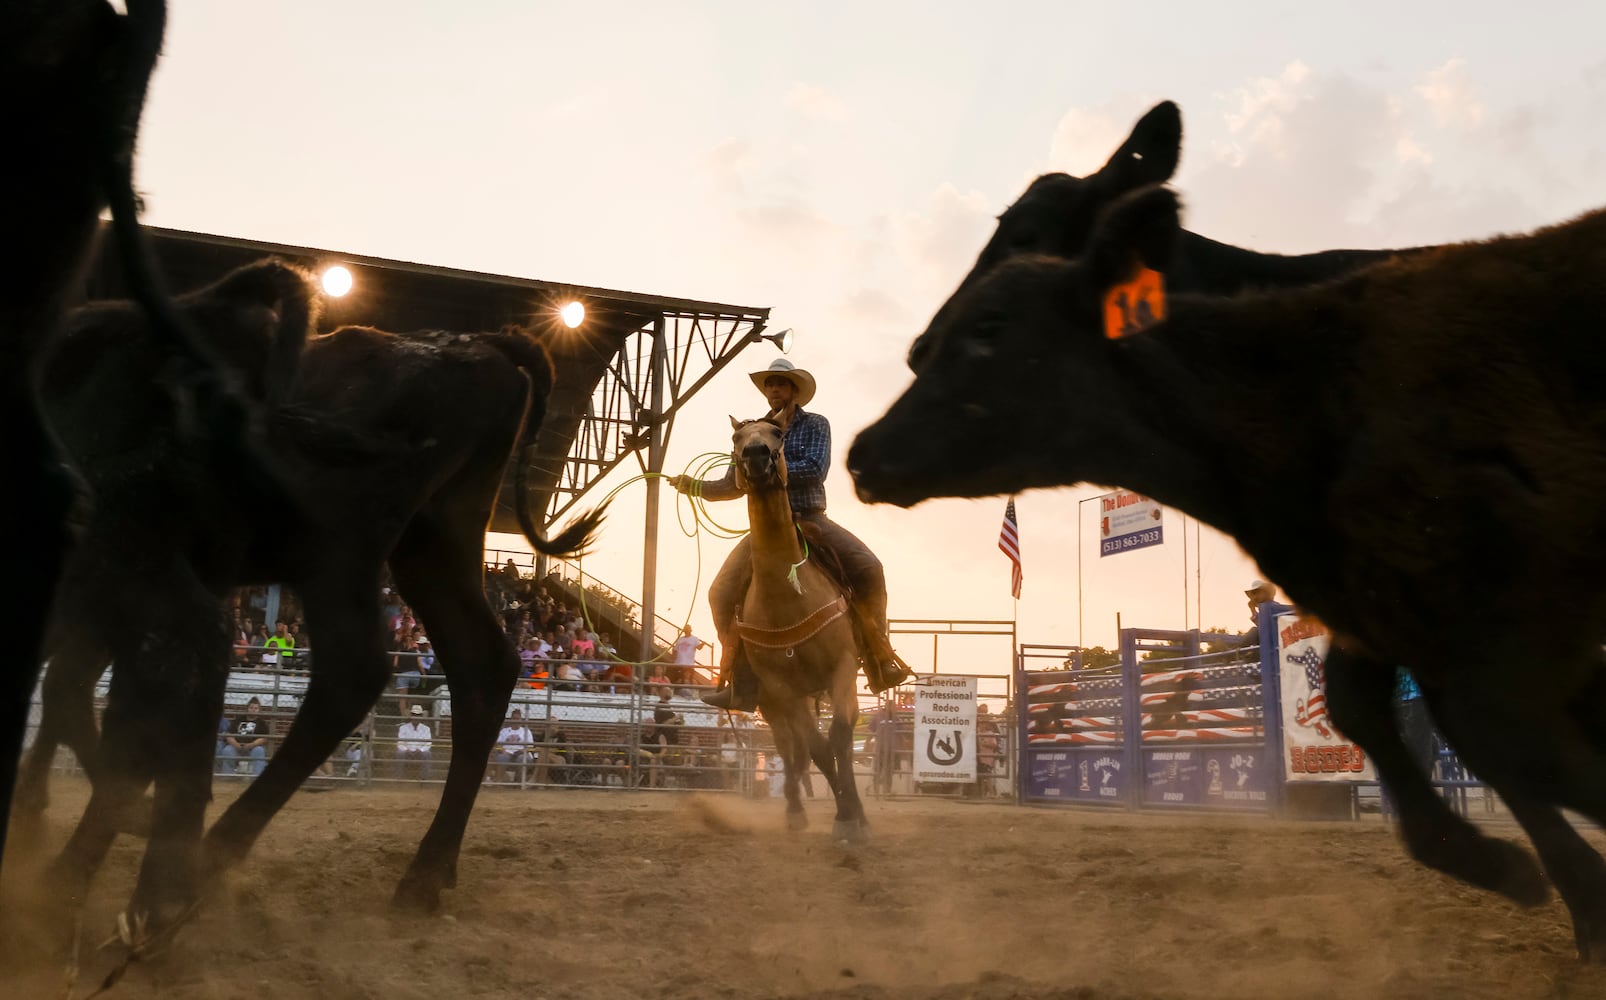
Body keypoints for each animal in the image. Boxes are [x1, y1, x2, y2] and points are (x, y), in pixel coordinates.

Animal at [732, 414, 873, 847]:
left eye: (776, 433)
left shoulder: (842, 668)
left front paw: (854, 818)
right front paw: (843, 816)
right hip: (773, 701)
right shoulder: (782, 688)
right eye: (736, 438)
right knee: (790, 745)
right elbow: (816, 748)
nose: (756, 454)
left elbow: (840, 739)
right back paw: (795, 810)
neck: (787, 596)